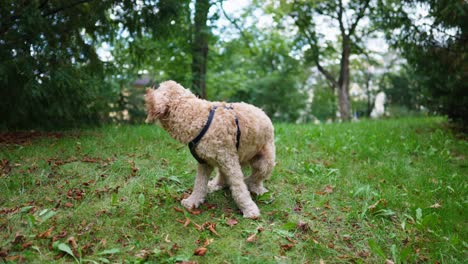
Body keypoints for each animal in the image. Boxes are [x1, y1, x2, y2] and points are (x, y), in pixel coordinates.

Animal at [145, 80, 274, 219]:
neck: (197, 117)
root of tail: (262, 111)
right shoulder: (204, 162)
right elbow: (199, 184)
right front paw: (192, 201)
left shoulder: (229, 161)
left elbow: (239, 188)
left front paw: (249, 209)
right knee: (224, 175)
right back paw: (217, 184)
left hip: (265, 161)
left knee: (256, 178)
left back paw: (257, 189)